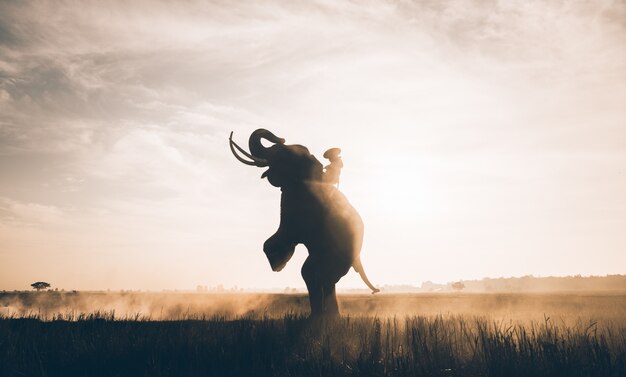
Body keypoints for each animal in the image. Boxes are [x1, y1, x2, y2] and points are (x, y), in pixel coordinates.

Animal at [228, 129, 378, 318]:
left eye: (283, 154)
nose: (281, 138)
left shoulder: (301, 208)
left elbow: (290, 232)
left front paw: (277, 262)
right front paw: (277, 261)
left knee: (318, 274)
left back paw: (326, 318)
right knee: (317, 275)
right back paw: (322, 317)